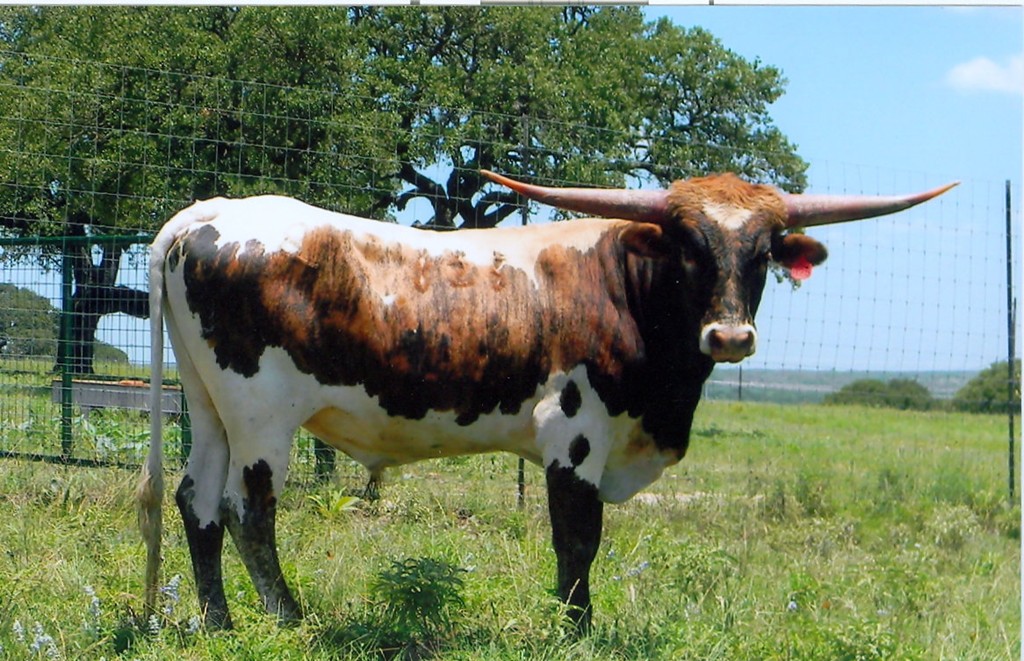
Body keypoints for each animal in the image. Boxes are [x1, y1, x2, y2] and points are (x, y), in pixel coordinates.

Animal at [137, 170, 955, 632]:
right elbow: (577, 539)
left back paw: (218, 623)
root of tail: (199, 217)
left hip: (207, 406)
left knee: (197, 503)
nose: (728, 335)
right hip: (261, 414)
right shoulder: (576, 437)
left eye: (763, 252)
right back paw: (287, 617)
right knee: (248, 510)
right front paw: (576, 628)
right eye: (688, 246)